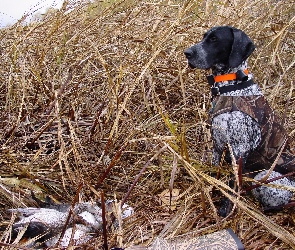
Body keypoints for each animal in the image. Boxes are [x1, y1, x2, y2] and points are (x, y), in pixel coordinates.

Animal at [185, 26, 295, 216]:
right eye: (204, 37)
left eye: (214, 39)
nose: (187, 53)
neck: (231, 87)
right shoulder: (218, 145)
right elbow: (216, 173)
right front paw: (213, 191)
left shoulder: (238, 151)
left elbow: (232, 184)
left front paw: (225, 209)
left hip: (266, 177)